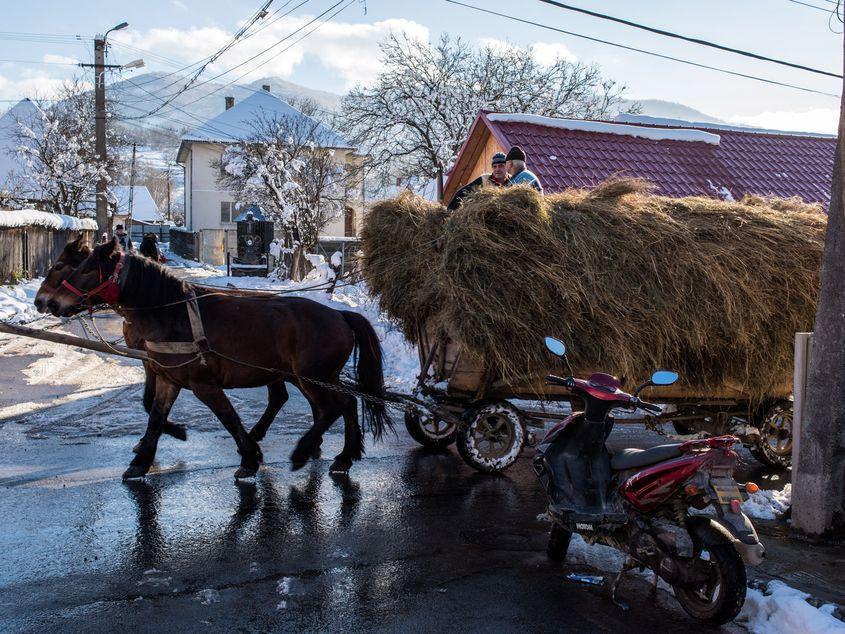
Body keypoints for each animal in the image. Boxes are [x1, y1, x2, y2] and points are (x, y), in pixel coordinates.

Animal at [51, 239, 394, 476]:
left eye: (83, 269)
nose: (51, 303)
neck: (173, 313)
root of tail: (340, 315)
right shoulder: (168, 378)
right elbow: (155, 417)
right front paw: (141, 462)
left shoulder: (204, 384)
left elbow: (228, 418)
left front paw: (250, 458)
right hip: (319, 377)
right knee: (346, 403)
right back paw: (344, 456)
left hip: (313, 377)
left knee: (332, 408)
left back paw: (303, 452)